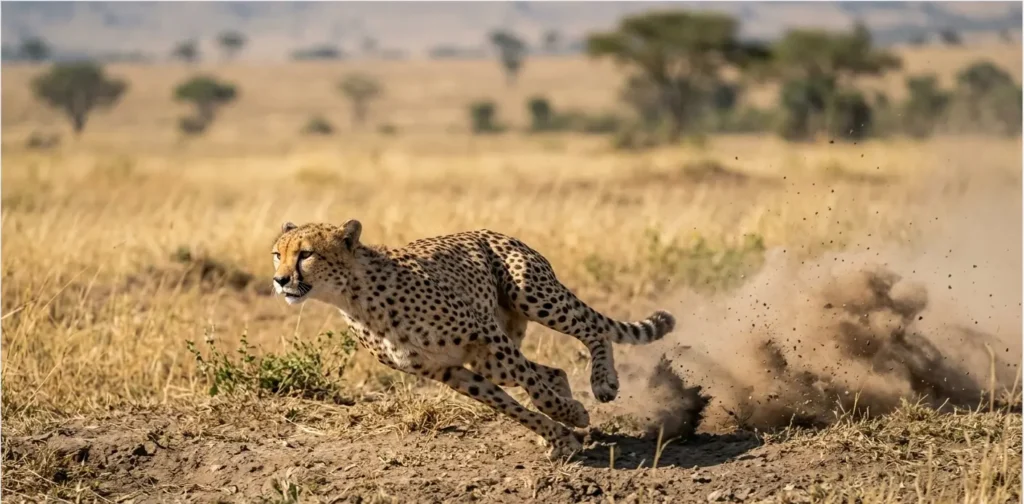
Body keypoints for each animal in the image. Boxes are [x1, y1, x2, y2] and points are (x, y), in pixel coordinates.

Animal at [271, 219, 676, 459]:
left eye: (306, 254)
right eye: (277, 254)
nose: (279, 280)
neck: (353, 297)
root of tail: (498, 232)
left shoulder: (484, 332)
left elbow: (534, 392)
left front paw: (570, 415)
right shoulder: (449, 371)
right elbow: (511, 407)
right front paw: (558, 435)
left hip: (530, 298)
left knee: (591, 331)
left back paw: (603, 383)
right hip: (491, 359)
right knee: (552, 370)